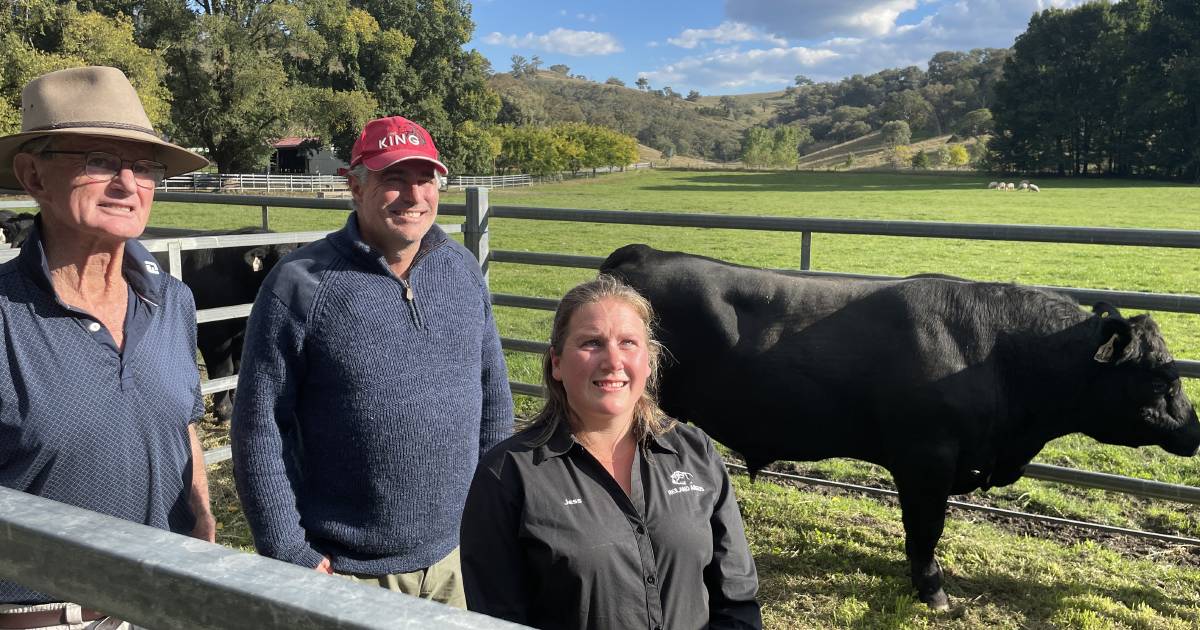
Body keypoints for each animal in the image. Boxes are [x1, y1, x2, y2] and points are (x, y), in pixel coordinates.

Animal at [600, 243, 1200, 607]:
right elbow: (924, 529)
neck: (997, 355)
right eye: (1157, 376)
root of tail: (644, 253)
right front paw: (932, 591)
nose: (1193, 429)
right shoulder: (926, 461)